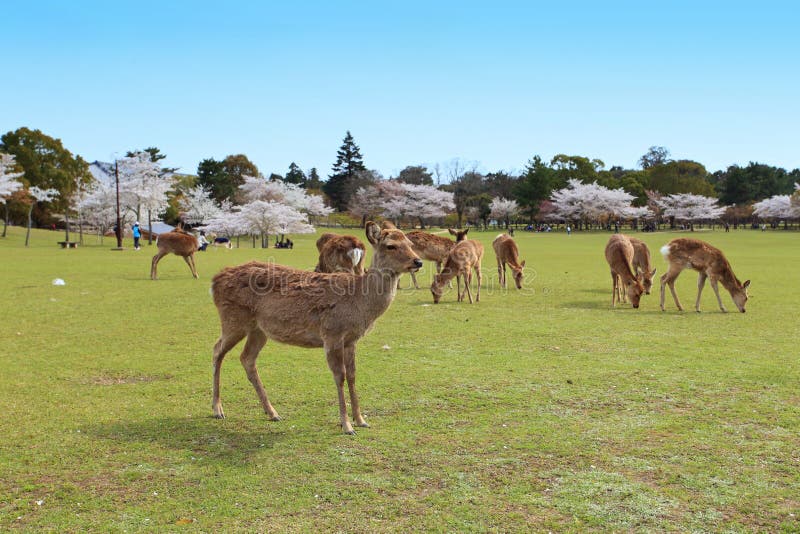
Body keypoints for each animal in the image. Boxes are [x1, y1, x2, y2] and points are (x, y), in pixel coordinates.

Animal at [211, 222, 424, 436]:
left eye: (410, 243)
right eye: (390, 246)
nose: (418, 261)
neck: (359, 303)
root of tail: (214, 281)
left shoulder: (351, 340)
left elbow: (353, 375)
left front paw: (361, 420)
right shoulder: (332, 334)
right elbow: (340, 376)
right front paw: (347, 426)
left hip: (259, 330)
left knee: (246, 358)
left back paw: (272, 413)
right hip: (233, 320)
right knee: (217, 350)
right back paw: (218, 409)